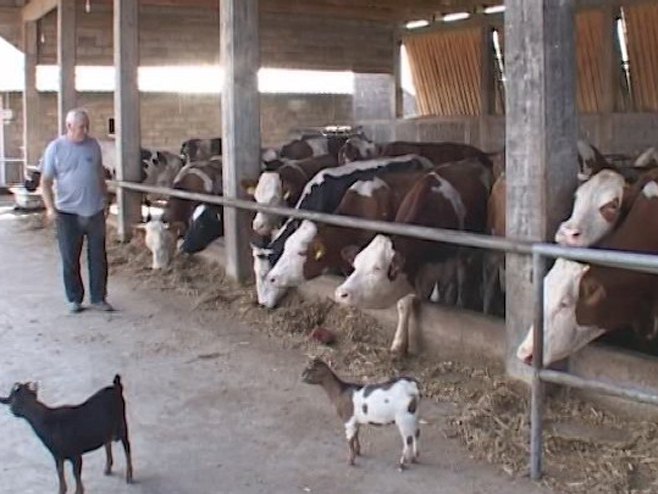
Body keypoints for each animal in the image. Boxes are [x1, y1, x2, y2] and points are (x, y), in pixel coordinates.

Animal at [0, 376, 133, 492]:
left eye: (17, 398)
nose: (13, 410)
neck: (48, 422)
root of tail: (116, 387)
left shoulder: (75, 454)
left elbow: (77, 480)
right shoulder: (57, 456)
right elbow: (61, 478)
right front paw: (61, 490)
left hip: (122, 425)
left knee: (127, 448)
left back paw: (129, 476)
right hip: (106, 428)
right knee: (107, 442)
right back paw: (108, 468)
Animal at [334, 158, 492, 356]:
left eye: (377, 268)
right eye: (355, 265)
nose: (340, 293)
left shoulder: (445, 266)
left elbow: (443, 292)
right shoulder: (410, 270)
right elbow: (404, 303)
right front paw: (399, 343)